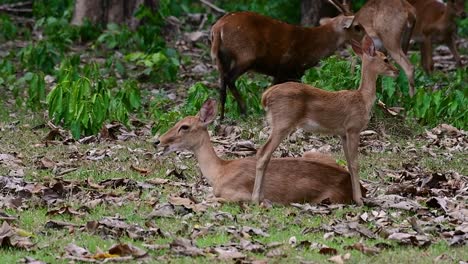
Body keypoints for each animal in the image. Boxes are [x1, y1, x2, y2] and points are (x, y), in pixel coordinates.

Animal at [154, 99, 362, 204]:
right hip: (311, 152)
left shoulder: (239, 194)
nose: (157, 141)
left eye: (185, 126)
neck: (220, 172)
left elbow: (209, 199)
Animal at [252, 36, 398, 205]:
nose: (396, 71)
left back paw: (261, 197)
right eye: (385, 59)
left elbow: (349, 163)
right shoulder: (353, 128)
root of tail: (266, 96)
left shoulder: (343, 133)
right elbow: (355, 164)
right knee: (263, 153)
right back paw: (255, 199)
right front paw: (359, 201)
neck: (363, 99)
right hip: (283, 122)